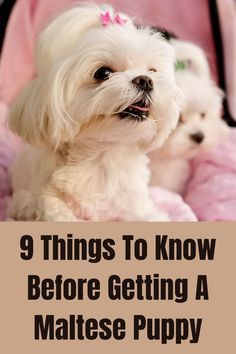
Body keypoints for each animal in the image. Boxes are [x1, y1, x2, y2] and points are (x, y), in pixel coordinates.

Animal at [7, 4, 181, 221]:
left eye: (152, 71)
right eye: (103, 73)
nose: (145, 80)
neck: (101, 161)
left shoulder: (137, 205)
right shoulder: (25, 201)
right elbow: (53, 208)